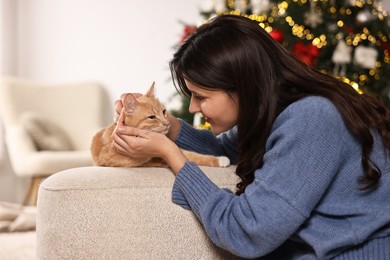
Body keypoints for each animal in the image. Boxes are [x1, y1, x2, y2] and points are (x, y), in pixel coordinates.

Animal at [90, 83, 232, 169]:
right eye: (152, 117)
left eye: (164, 112)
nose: (167, 123)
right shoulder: (111, 158)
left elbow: (192, 155)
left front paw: (220, 159)